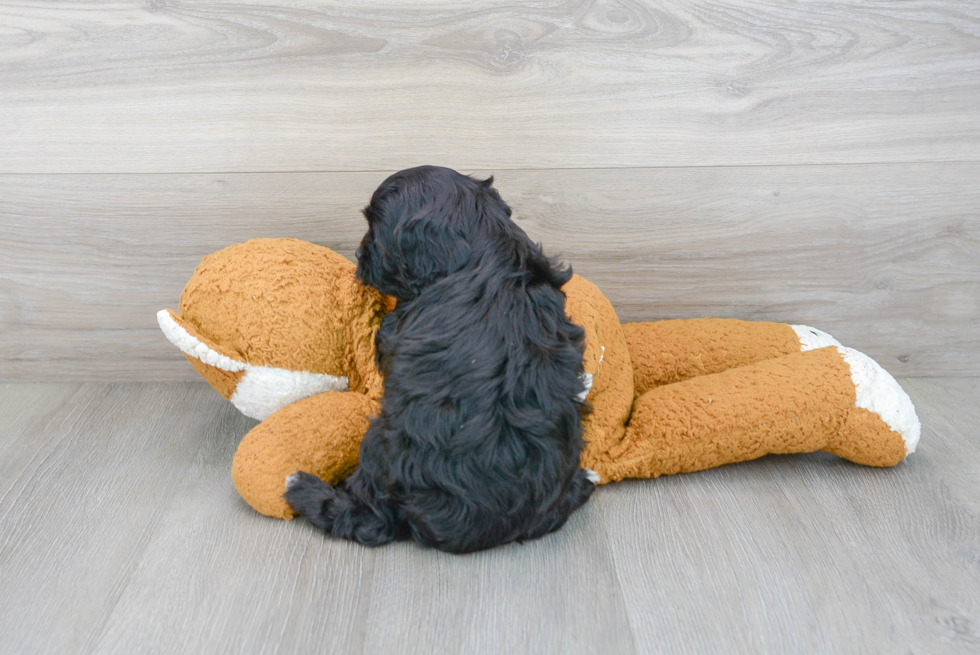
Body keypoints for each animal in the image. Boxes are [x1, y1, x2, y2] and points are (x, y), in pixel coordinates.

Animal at [280, 165, 592, 552]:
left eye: (375, 231)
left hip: (382, 441)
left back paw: (303, 488)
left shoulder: (394, 328)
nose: (358, 253)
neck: (485, 248)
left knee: (368, 519)